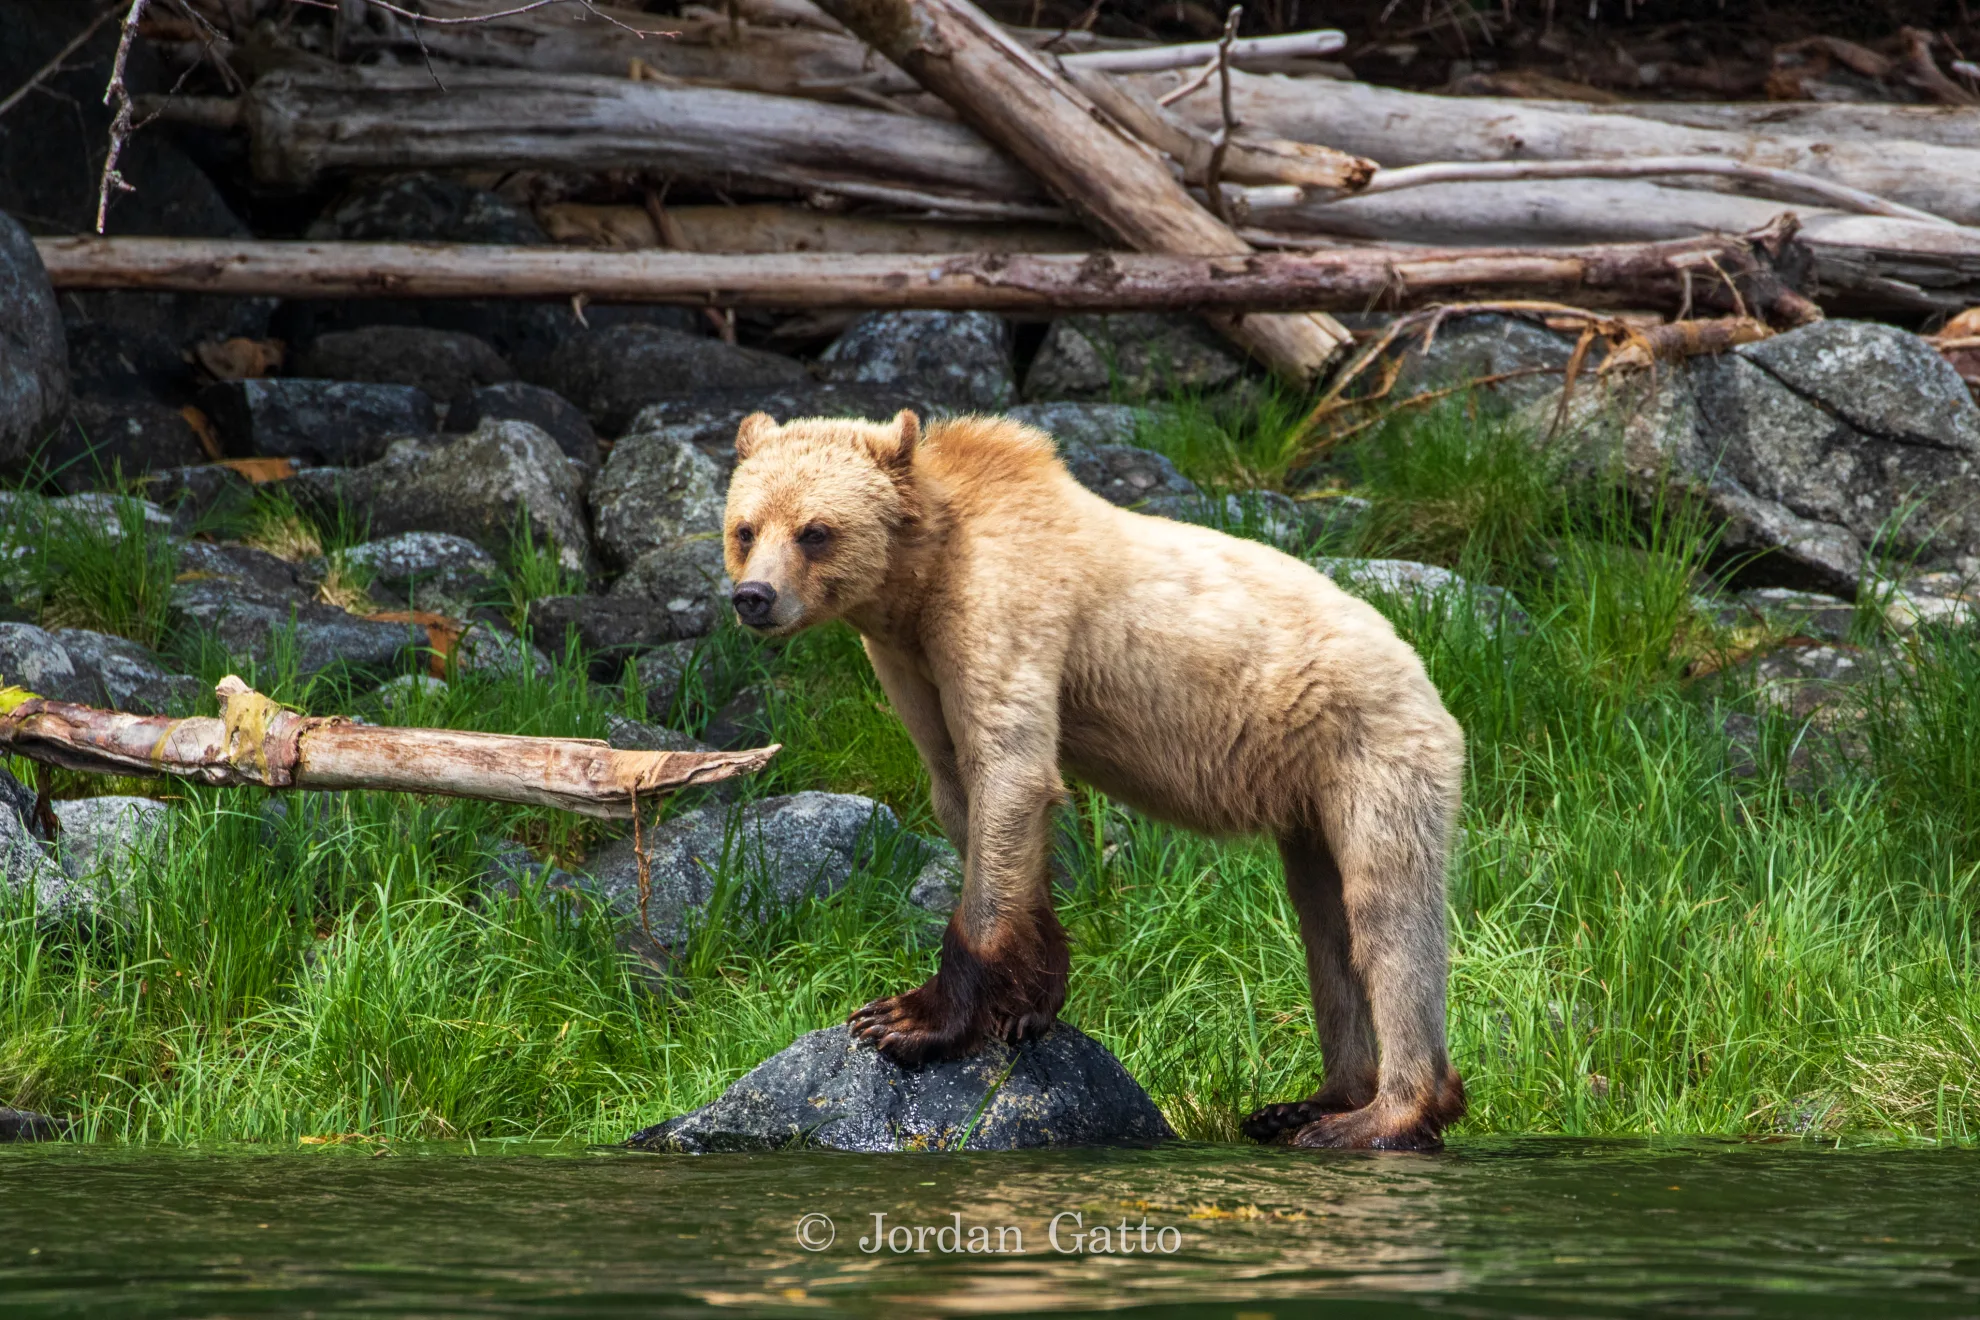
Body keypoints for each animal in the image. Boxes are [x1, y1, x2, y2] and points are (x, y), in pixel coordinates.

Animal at [721, 409, 1468, 1150]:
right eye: (746, 528)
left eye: (815, 531)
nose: (754, 597)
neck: (919, 578)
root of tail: (1423, 670)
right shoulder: (911, 662)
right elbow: (966, 794)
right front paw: (1030, 1001)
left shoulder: (1001, 608)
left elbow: (1010, 774)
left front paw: (906, 1019)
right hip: (1309, 802)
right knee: (1326, 930)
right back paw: (1307, 1104)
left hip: (1371, 752)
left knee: (1387, 920)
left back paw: (1382, 1115)